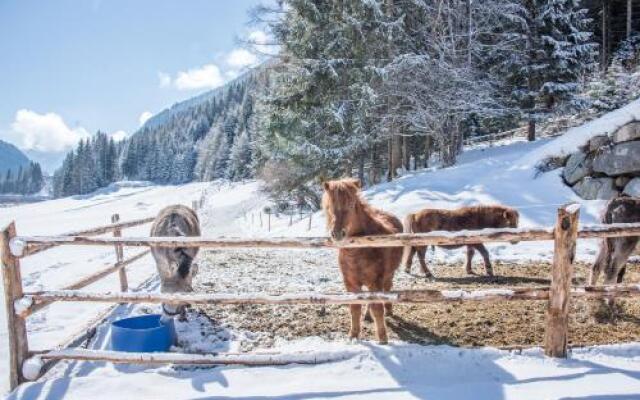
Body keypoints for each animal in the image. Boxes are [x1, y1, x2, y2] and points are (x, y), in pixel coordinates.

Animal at [322, 178, 402, 344]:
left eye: (351, 204)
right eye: (329, 206)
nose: (337, 233)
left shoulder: (375, 281)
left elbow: (377, 309)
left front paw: (383, 339)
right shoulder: (350, 283)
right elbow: (355, 308)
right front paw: (353, 336)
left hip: (387, 275)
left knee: (387, 289)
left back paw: (388, 309)